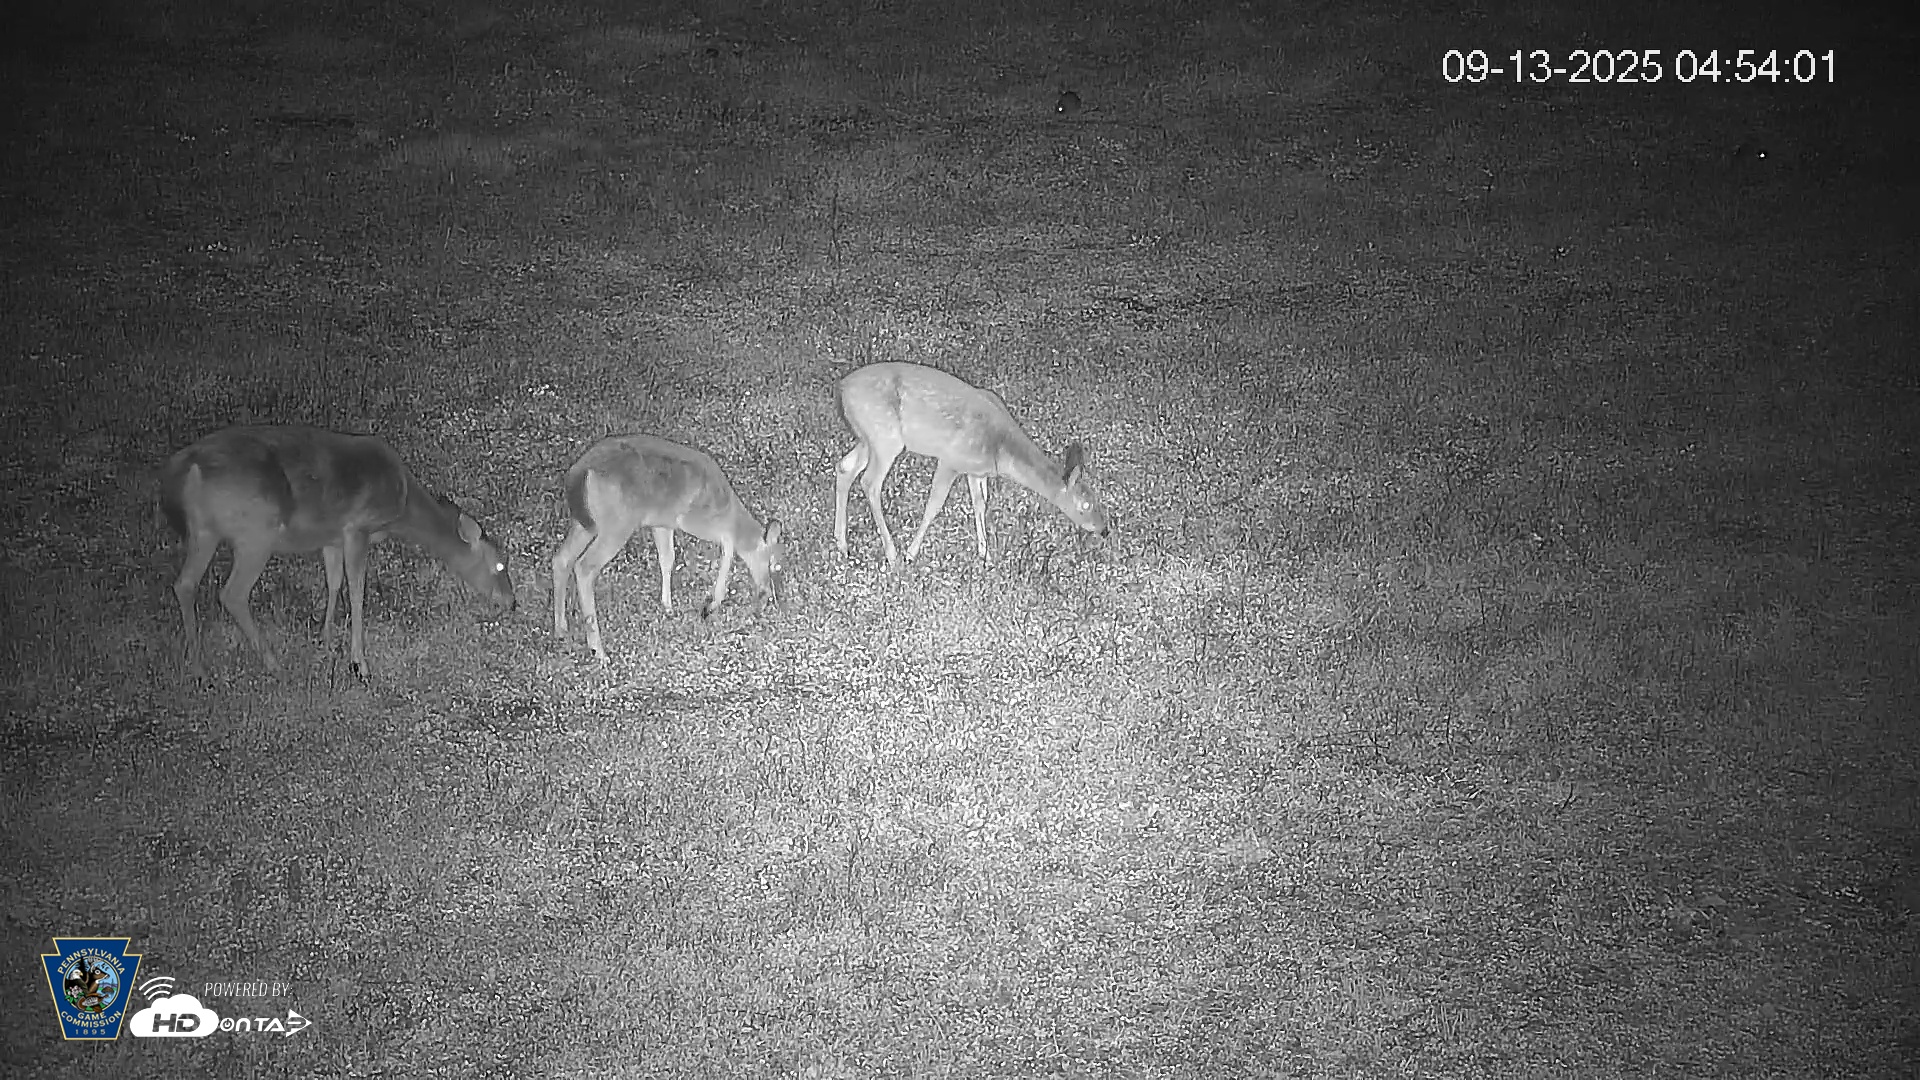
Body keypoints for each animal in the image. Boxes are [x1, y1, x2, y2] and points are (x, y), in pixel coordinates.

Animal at [159, 425, 516, 678]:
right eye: (500, 565)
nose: (511, 602)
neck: (402, 507)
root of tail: (187, 466)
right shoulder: (357, 526)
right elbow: (357, 590)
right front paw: (359, 663)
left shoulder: (331, 536)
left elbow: (333, 582)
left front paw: (326, 639)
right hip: (256, 533)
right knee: (231, 593)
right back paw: (273, 664)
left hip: (204, 531)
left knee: (184, 584)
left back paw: (198, 668)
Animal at [550, 434, 784, 663]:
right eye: (774, 564)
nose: (768, 596)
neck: (730, 509)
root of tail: (579, 473)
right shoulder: (695, 520)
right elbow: (728, 546)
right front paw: (710, 605)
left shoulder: (662, 522)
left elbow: (667, 558)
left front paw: (668, 605)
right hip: (617, 523)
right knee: (584, 566)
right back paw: (598, 651)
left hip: (586, 523)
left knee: (562, 559)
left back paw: (561, 630)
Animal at [833, 362, 1111, 567]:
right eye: (1085, 505)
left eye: (1097, 498)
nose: (1104, 530)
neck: (1000, 448)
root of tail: (842, 388)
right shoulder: (951, 458)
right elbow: (934, 505)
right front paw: (911, 553)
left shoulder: (976, 470)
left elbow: (980, 504)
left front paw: (985, 555)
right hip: (885, 438)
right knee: (870, 483)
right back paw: (892, 555)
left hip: (868, 438)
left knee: (845, 467)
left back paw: (842, 544)